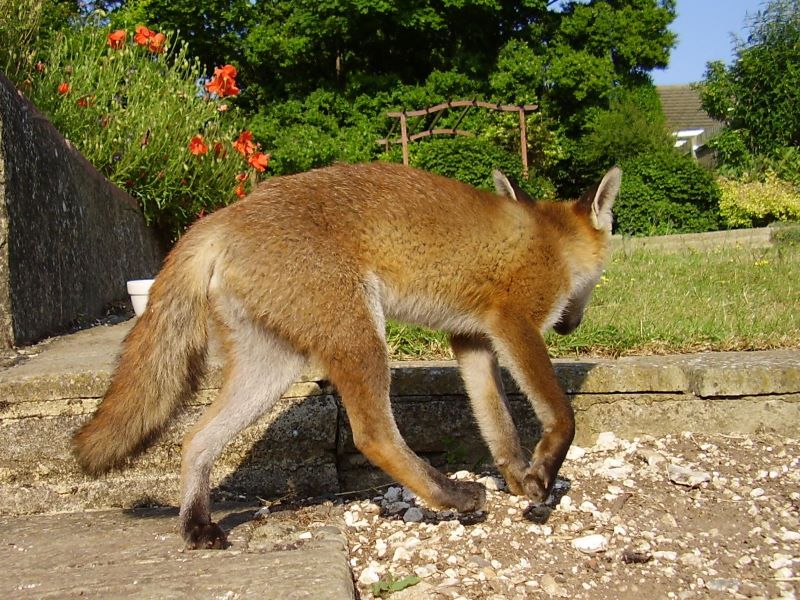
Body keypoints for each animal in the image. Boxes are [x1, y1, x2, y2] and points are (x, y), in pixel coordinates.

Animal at [72, 161, 620, 548]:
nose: (572, 326)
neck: (550, 241)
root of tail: (224, 216)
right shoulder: (514, 323)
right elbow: (562, 416)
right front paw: (543, 476)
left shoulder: (472, 339)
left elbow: (499, 427)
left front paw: (519, 480)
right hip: (362, 338)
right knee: (374, 437)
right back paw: (452, 496)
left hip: (271, 370)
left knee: (195, 440)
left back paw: (196, 526)